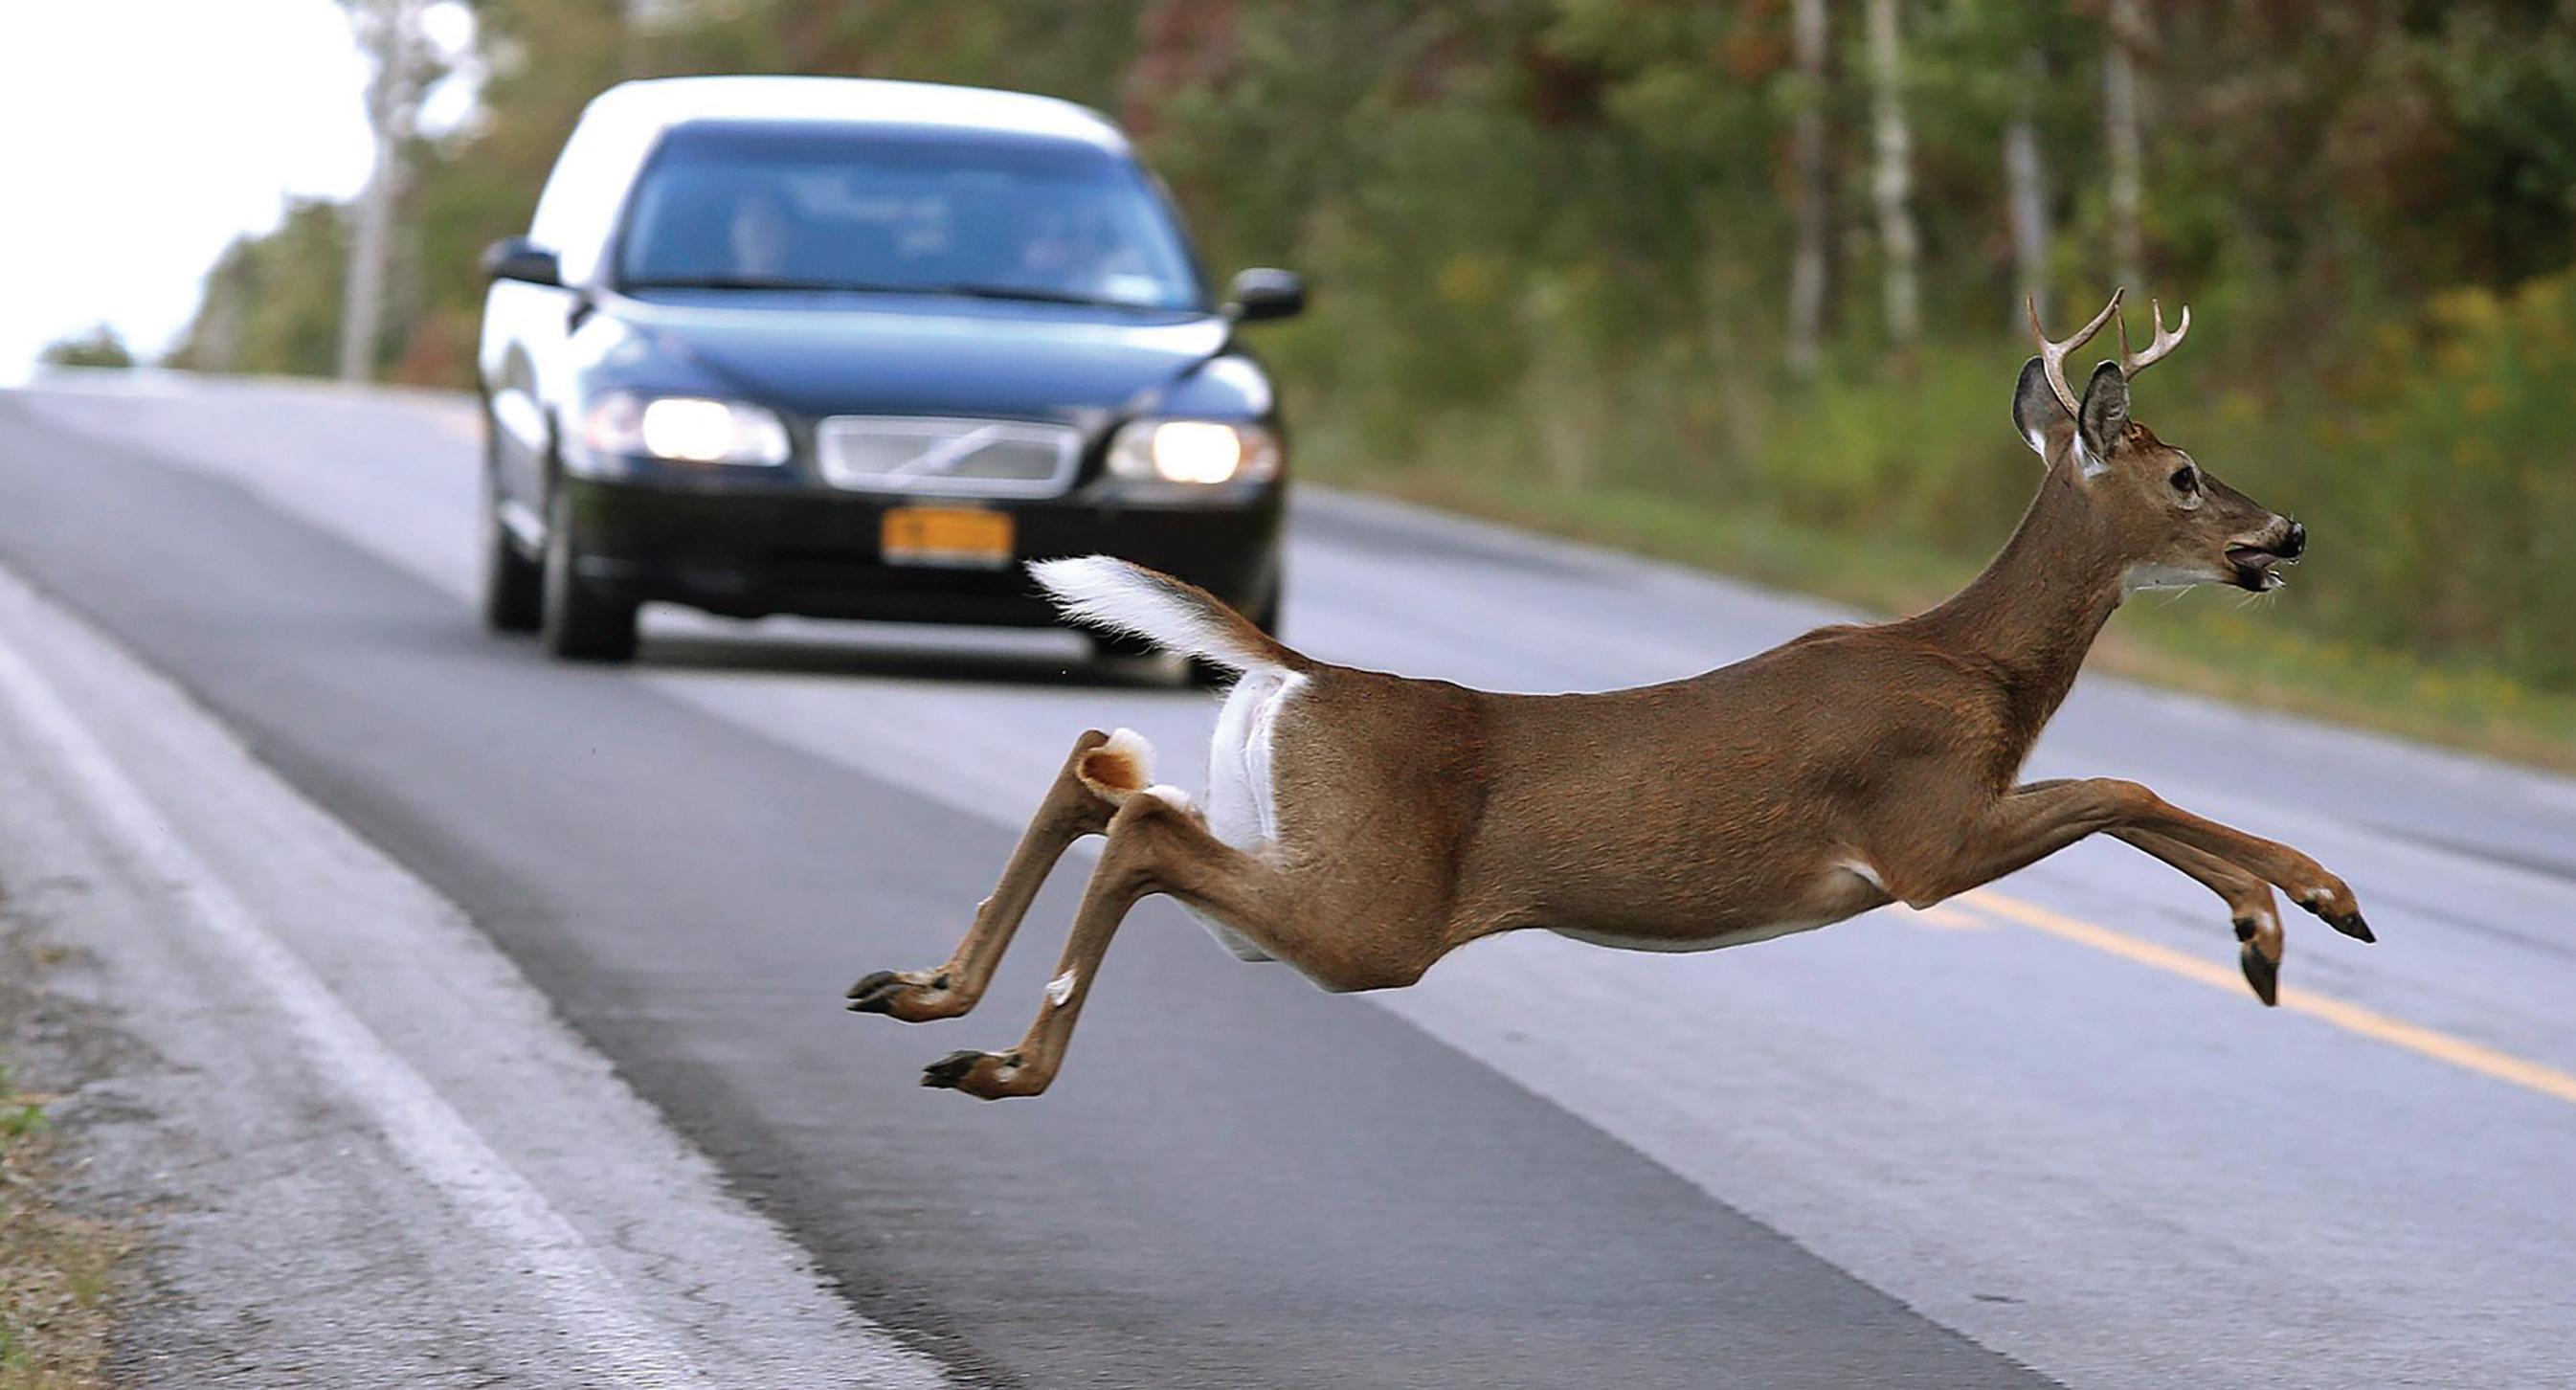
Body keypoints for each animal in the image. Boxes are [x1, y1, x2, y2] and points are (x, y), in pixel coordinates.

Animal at [846, 288, 2374, 1100]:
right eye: (2183, 475)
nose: (2288, 533)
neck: (1980, 669)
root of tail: (1305, 673)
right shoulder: (1921, 835)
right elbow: (2124, 783)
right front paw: (2300, 907)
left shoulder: (1945, 827)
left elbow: (2126, 792)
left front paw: (2276, 923)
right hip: (1372, 913)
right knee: (1143, 825)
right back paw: (1003, 1062)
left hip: (1303, 848)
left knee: (1103, 771)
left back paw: (924, 995)